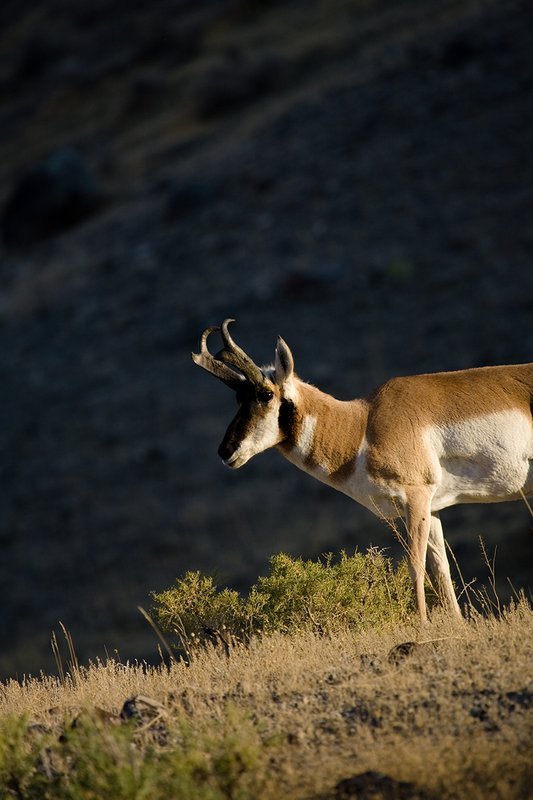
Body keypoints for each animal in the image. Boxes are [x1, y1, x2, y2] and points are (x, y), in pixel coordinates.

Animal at [192, 319, 533, 622]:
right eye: (239, 397)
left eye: (265, 394)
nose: (226, 452)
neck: (362, 425)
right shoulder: (431, 507)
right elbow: (441, 570)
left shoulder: (416, 497)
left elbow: (415, 565)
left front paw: (422, 627)